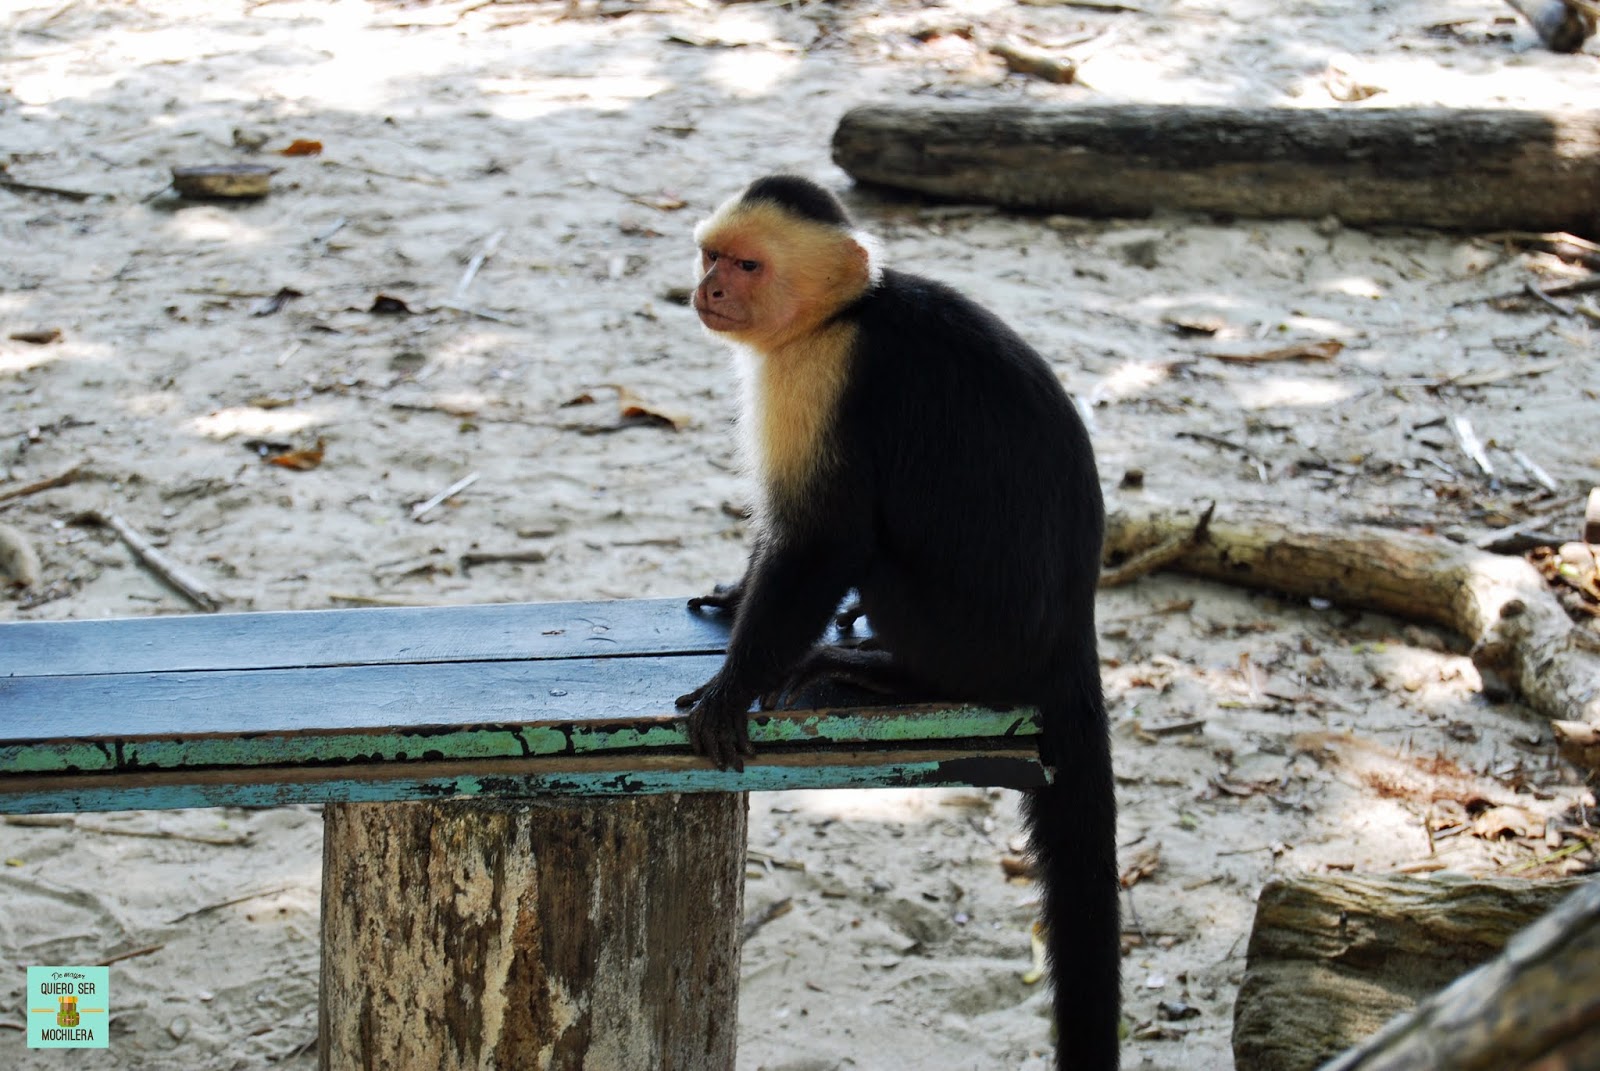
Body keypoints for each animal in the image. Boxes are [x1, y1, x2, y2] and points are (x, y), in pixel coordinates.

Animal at [672, 177, 1113, 1069]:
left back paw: (883, 668)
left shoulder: (824, 374)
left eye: (747, 264)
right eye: (710, 256)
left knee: (875, 556)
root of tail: (1070, 637)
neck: (844, 312)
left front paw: (733, 683)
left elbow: (823, 540)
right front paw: (735, 598)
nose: (707, 290)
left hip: (967, 635)